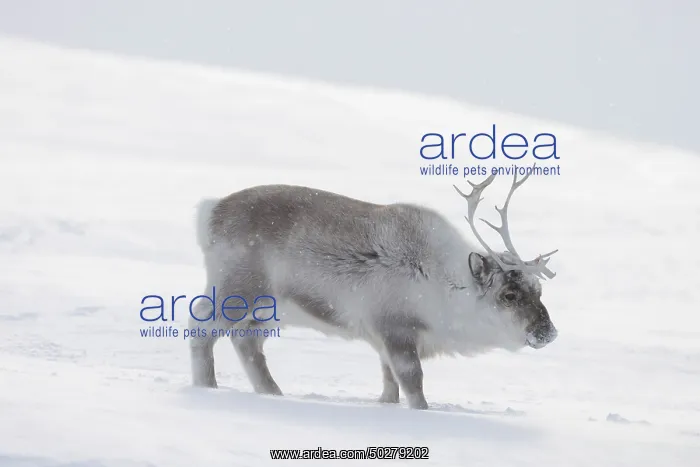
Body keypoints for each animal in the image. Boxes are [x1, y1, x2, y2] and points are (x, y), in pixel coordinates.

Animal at [189, 170, 558, 409]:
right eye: (509, 295)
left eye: (539, 290)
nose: (549, 332)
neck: (443, 283)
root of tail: (210, 212)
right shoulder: (395, 328)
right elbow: (412, 382)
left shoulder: (383, 341)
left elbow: (389, 384)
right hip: (237, 290)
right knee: (201, 328)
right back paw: (207, 388)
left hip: (272, 311)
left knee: (246, 339)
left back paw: (272, 394)